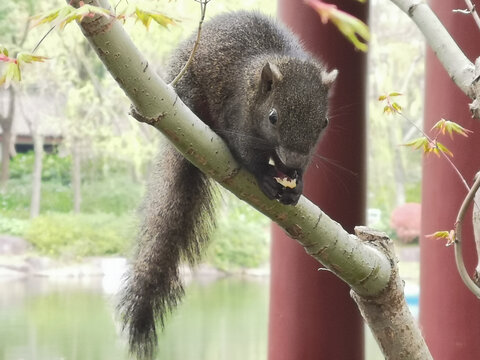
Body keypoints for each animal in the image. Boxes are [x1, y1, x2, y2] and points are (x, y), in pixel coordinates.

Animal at [119, 9, 338, 358]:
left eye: (324, 122)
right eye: (273, 117)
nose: (292, 162)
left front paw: (297, 183)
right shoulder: (236, 117)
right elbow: (245, 153)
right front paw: (266, 177)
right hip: (189, 91)